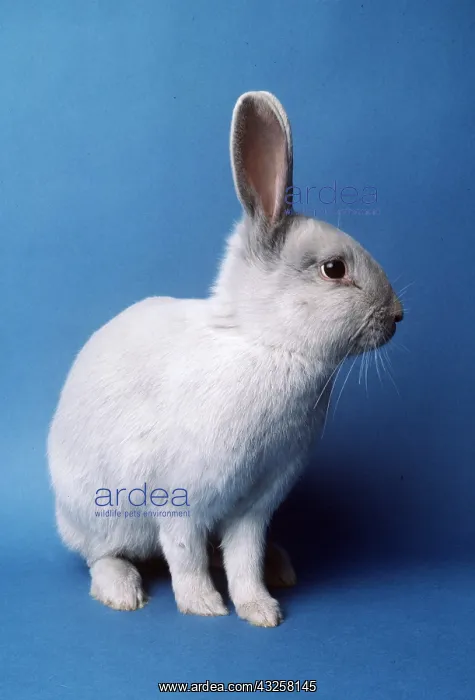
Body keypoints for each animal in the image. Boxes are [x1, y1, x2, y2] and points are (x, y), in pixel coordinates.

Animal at [48, 91, 403, 627]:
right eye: (334, 269)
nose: (399, 315)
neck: (264, 342)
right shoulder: (182, 500)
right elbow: (185, 556)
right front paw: (205, 607)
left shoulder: (255, 506)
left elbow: (243, 559)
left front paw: (260, 610)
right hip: (102, 516)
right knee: (102, 556)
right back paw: (122, 590)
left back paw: (280, 567)